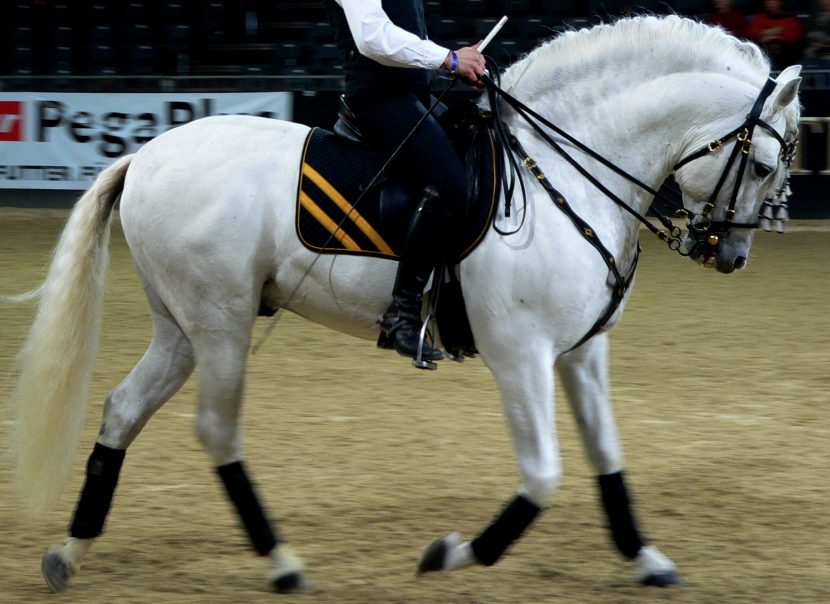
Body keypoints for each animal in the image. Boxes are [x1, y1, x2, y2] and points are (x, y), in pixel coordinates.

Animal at [5, 15, 801, 594]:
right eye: (763, 165)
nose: (730, 254)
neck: (562, 175)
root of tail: (146, 153)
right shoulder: (520, 354)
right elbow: (542, 477)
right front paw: (451, 553)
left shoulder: (581, 351)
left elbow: (608, 457)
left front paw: (645, 558)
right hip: (219, 323)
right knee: (216, 432)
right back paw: (282, 563)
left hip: (181, 329)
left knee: (122, 409)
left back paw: (69, 552)